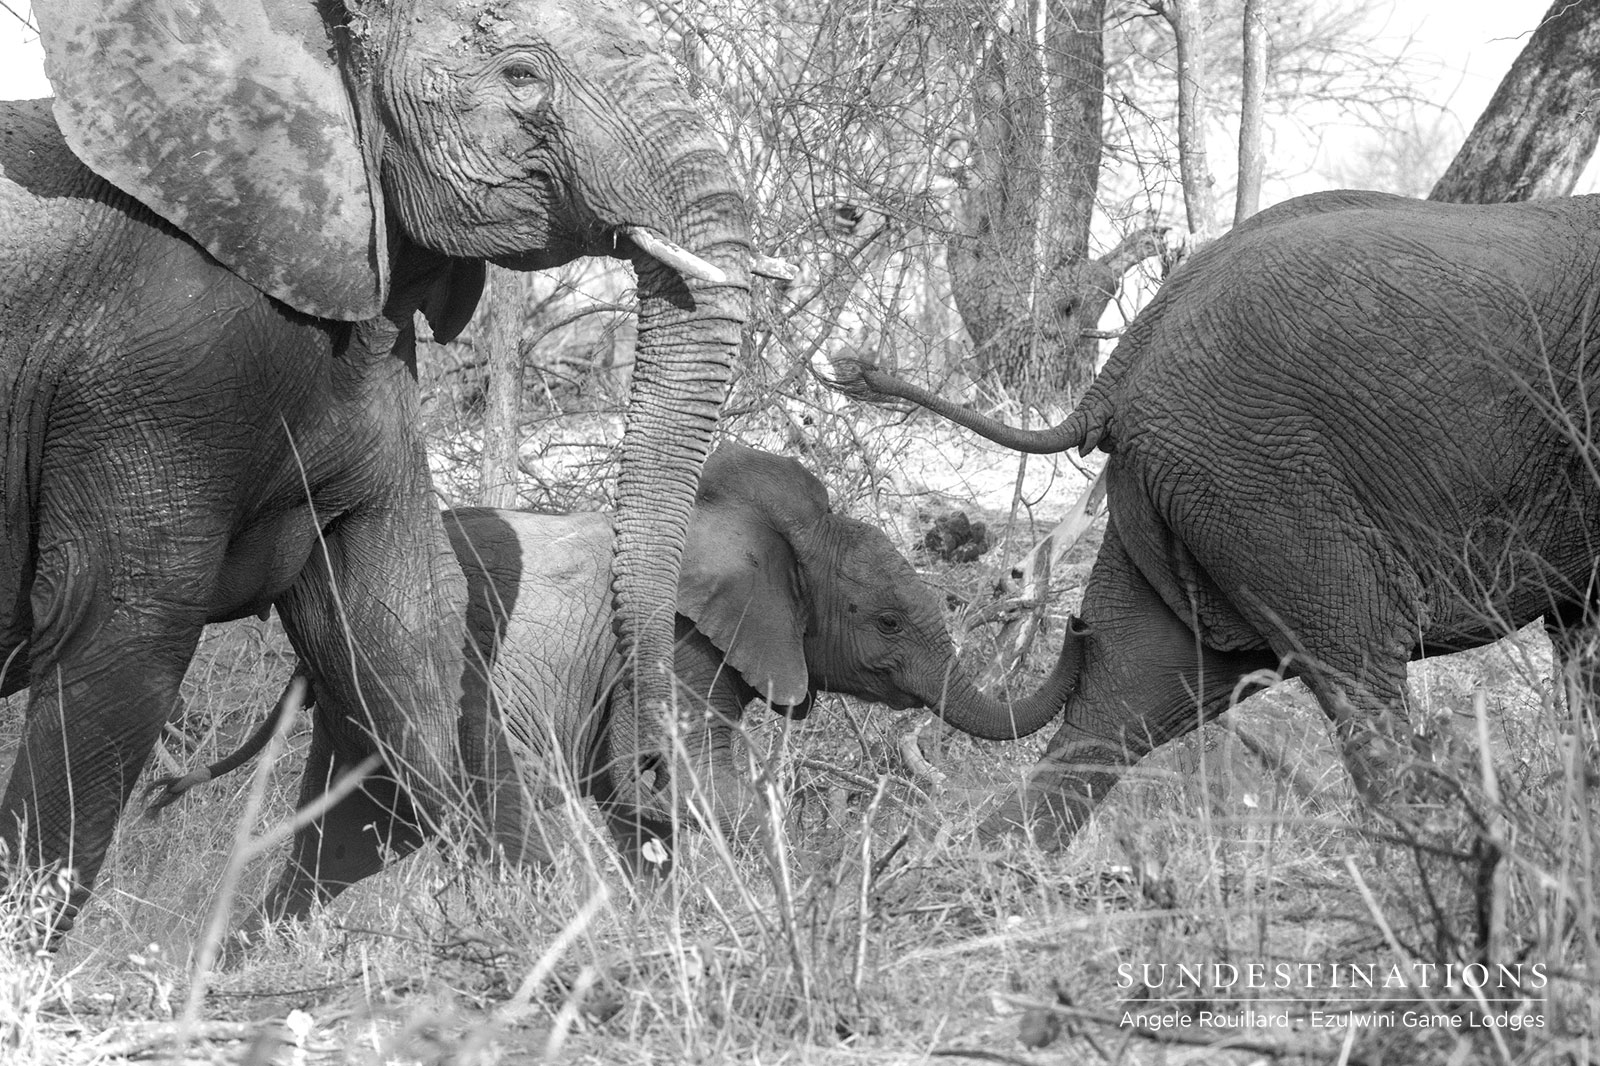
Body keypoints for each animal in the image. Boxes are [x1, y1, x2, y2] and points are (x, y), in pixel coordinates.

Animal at [1, 0, 767, 935]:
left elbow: (406, 630)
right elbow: (122, 629)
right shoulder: (147, 373)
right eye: (521, 76)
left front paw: (545, 940)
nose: (650, 770)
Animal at [147, 443, 1085, 920]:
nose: (1076, 623)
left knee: (340, 844)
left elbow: (647, 808)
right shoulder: (674, 643)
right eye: (886, 623)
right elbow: (698, 781)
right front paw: (815, 887)